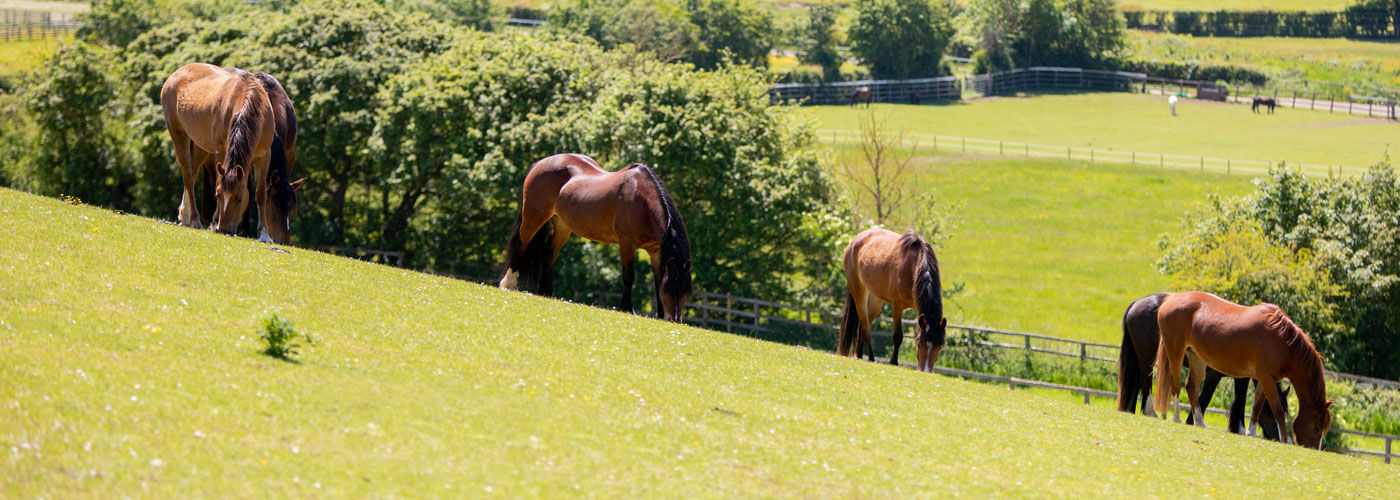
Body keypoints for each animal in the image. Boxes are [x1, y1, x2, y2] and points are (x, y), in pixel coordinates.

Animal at [160, 62, 282, 238]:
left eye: (239, 198)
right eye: (218, 195)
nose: (223, 229)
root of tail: (175, 75)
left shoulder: (264, 156)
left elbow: (260, 195)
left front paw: (264, 234)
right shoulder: (221, 151)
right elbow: (217, 181)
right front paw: (214, 221)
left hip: (201, 147)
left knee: (192, 173)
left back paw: (185, 217)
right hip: (179, 135)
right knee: (188, 177)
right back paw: (195, 220)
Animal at [501, 154, 691, 320]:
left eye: (686, 291)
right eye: (670, 288)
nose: (674, 319)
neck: (642, 202)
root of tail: (539, 164)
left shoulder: (655, 250)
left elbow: (657, 280)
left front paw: (659, 315)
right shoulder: (627, 244)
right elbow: (629, 277)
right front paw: (627, 308)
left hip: (562, 226)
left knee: (549, 252)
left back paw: (546, 292)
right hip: (533, 218)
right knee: (521, 243)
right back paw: (508, 284)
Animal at [834, 226, 946, 369]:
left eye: (939, 346)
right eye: (919, 344)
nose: (925, 370)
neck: (913, 267)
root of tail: (855, 240)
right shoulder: (897, 306)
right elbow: (898, 336)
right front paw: (893, 361)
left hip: (875, 300)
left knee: (862, 327)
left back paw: (858, 355)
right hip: (859, 293)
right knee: (866, 327)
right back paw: (871, 357)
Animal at [1120, 292, 1282, 439]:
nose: (1276, 437)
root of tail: (1136, 303)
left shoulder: (1240, 377)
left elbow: (1238, 400)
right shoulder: (1214, 375)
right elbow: (1207, 397)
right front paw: (1193, 421)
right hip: (1147, 358)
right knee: (1146, 383)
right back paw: (1152, 413)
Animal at [1153, 288, 1338, 448]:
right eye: (1316, 427)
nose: (1313, 448)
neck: (1282, 342)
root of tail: (1171, 299)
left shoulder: (1263, 379)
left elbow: (1256, 407)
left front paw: (1251, 433)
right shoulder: (1266, 379)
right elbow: (1277, 410)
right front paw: (1285, 440)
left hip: (1196, 357)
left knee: (1191, 387)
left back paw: (1200, 423)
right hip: (1175, 351)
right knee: (1176, 386)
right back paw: (1177, 419)